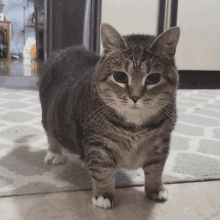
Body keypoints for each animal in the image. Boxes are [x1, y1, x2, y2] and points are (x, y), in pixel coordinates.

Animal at [39, 23, 180, 209]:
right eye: (120, 76)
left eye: (153, 78)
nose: (135, 97)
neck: (135, 126)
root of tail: (65, 50)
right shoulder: (99, 144)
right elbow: (102, 170)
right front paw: (104, 195)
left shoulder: (161, 143)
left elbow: (156, 169)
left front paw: (155, 189)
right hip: (49, 116)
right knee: (51, 134)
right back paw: (54, 153)